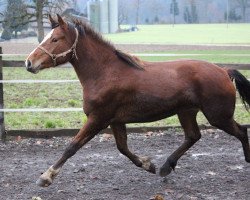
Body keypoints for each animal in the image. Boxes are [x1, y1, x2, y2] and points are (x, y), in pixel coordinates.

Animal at [24, 14, 249, 188]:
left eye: (55, 39)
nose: (29, 63)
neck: (105, 73)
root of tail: (224, 71)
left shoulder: (98, 118)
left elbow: (72, 146)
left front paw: (46, 177)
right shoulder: (115, 121)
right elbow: (122, 148)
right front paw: (149, 165)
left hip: (218, 116)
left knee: (241, 131)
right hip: (187, 112)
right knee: (193, 136)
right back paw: (165, 167)